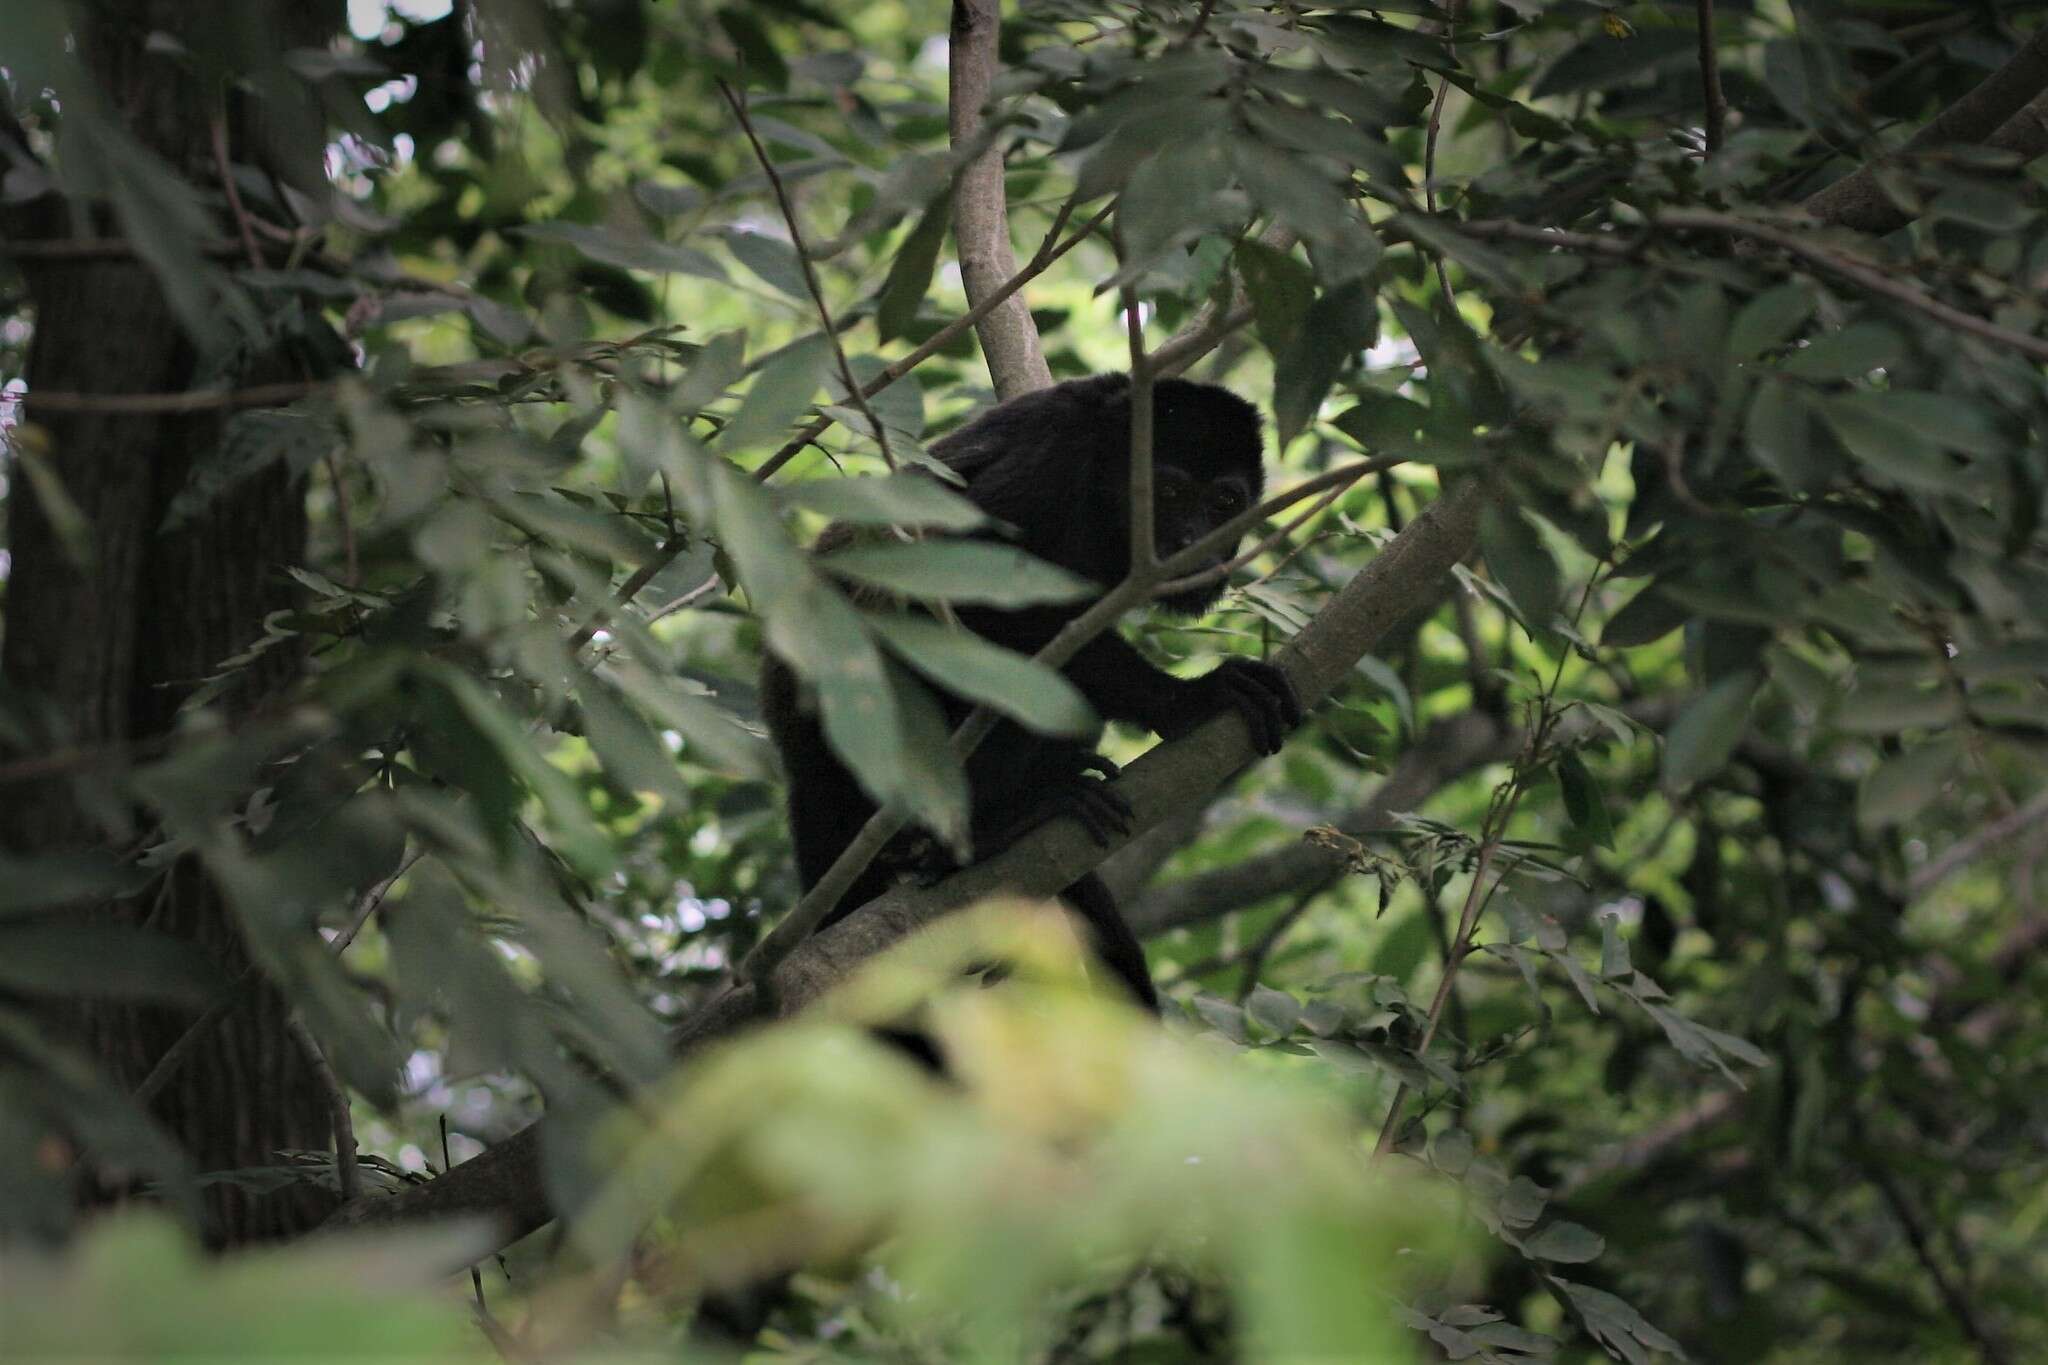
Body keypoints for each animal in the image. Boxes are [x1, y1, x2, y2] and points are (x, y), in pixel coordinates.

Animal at [761, 370, 1302, 1002]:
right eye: (1168, 493)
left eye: (1225, 502)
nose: (1195, 542)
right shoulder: (1051, 465)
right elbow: (968, 595)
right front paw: (1190, 698)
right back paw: (991, 829)